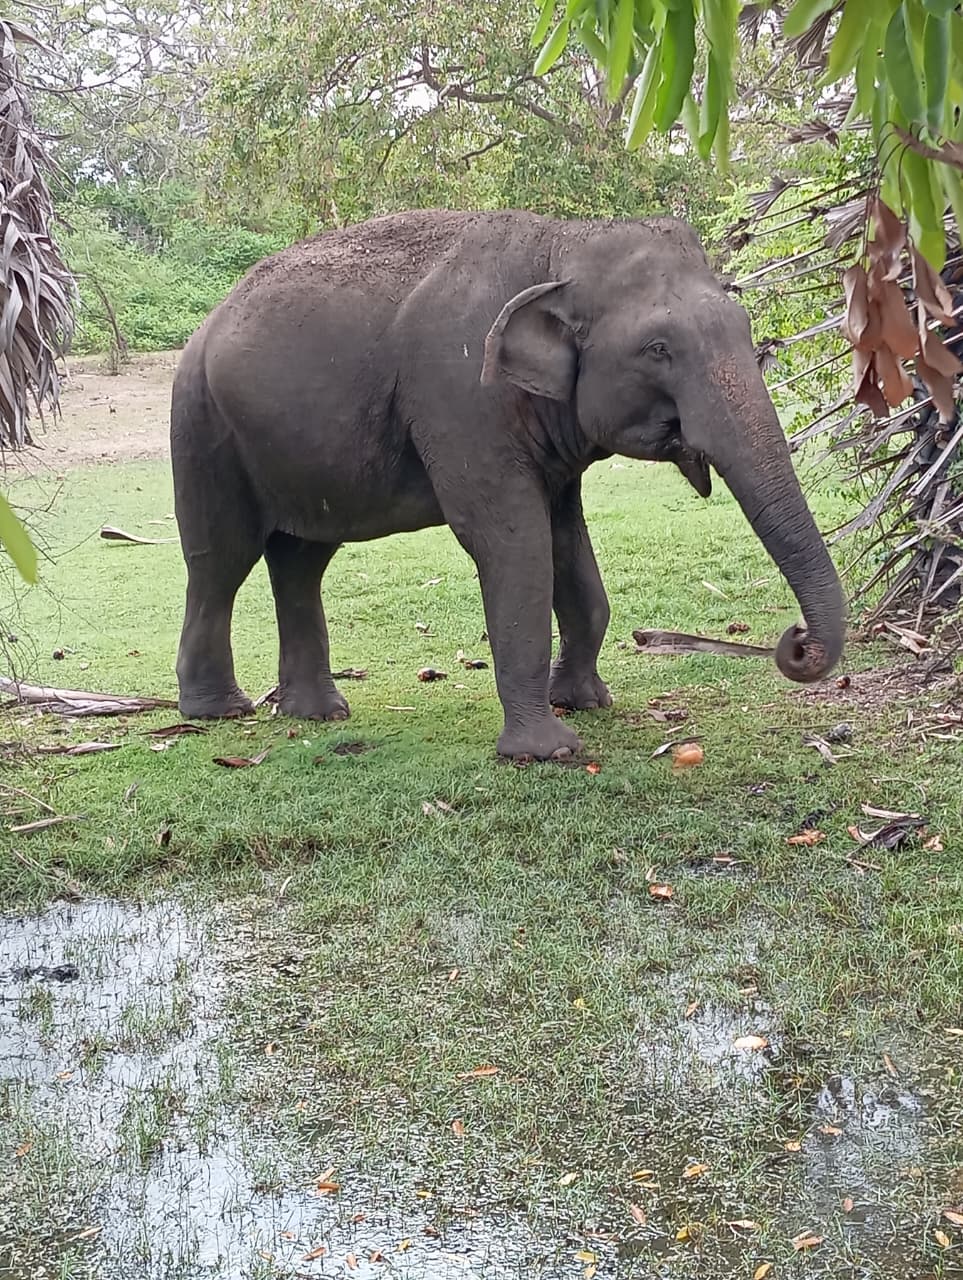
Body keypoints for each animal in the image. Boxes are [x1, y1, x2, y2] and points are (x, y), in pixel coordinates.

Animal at [170, 209, 845, 760]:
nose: (794, 641)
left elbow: (567, 544)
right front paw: (548, 750)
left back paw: (318, 713)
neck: (563, 244)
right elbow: (511, 543)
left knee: (302, 559)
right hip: (201, 424)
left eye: (744, 324)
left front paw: (585, 701)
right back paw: (219, 711)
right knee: (220, 560)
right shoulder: (461, 396)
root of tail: (210, 319)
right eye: (658, 349)